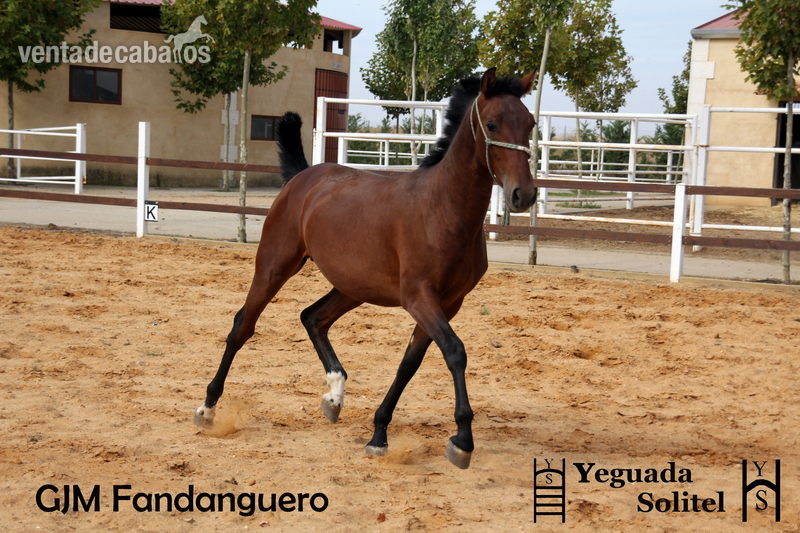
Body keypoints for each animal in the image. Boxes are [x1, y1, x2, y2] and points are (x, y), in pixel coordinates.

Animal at [193, 68, 537, 469]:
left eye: (530, 123)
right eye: (493, 124)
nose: (524, 194)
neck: (442, 208)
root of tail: (302, 178)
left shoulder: (449, 303)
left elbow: (409, 364)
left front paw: (379, 434)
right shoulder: (419, 297)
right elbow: (454, 351)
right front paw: (463, 441)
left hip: (353, 286)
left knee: (313, 317)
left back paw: (334, 396)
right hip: (274, 267)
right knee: (242, 326)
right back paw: (207, 409)